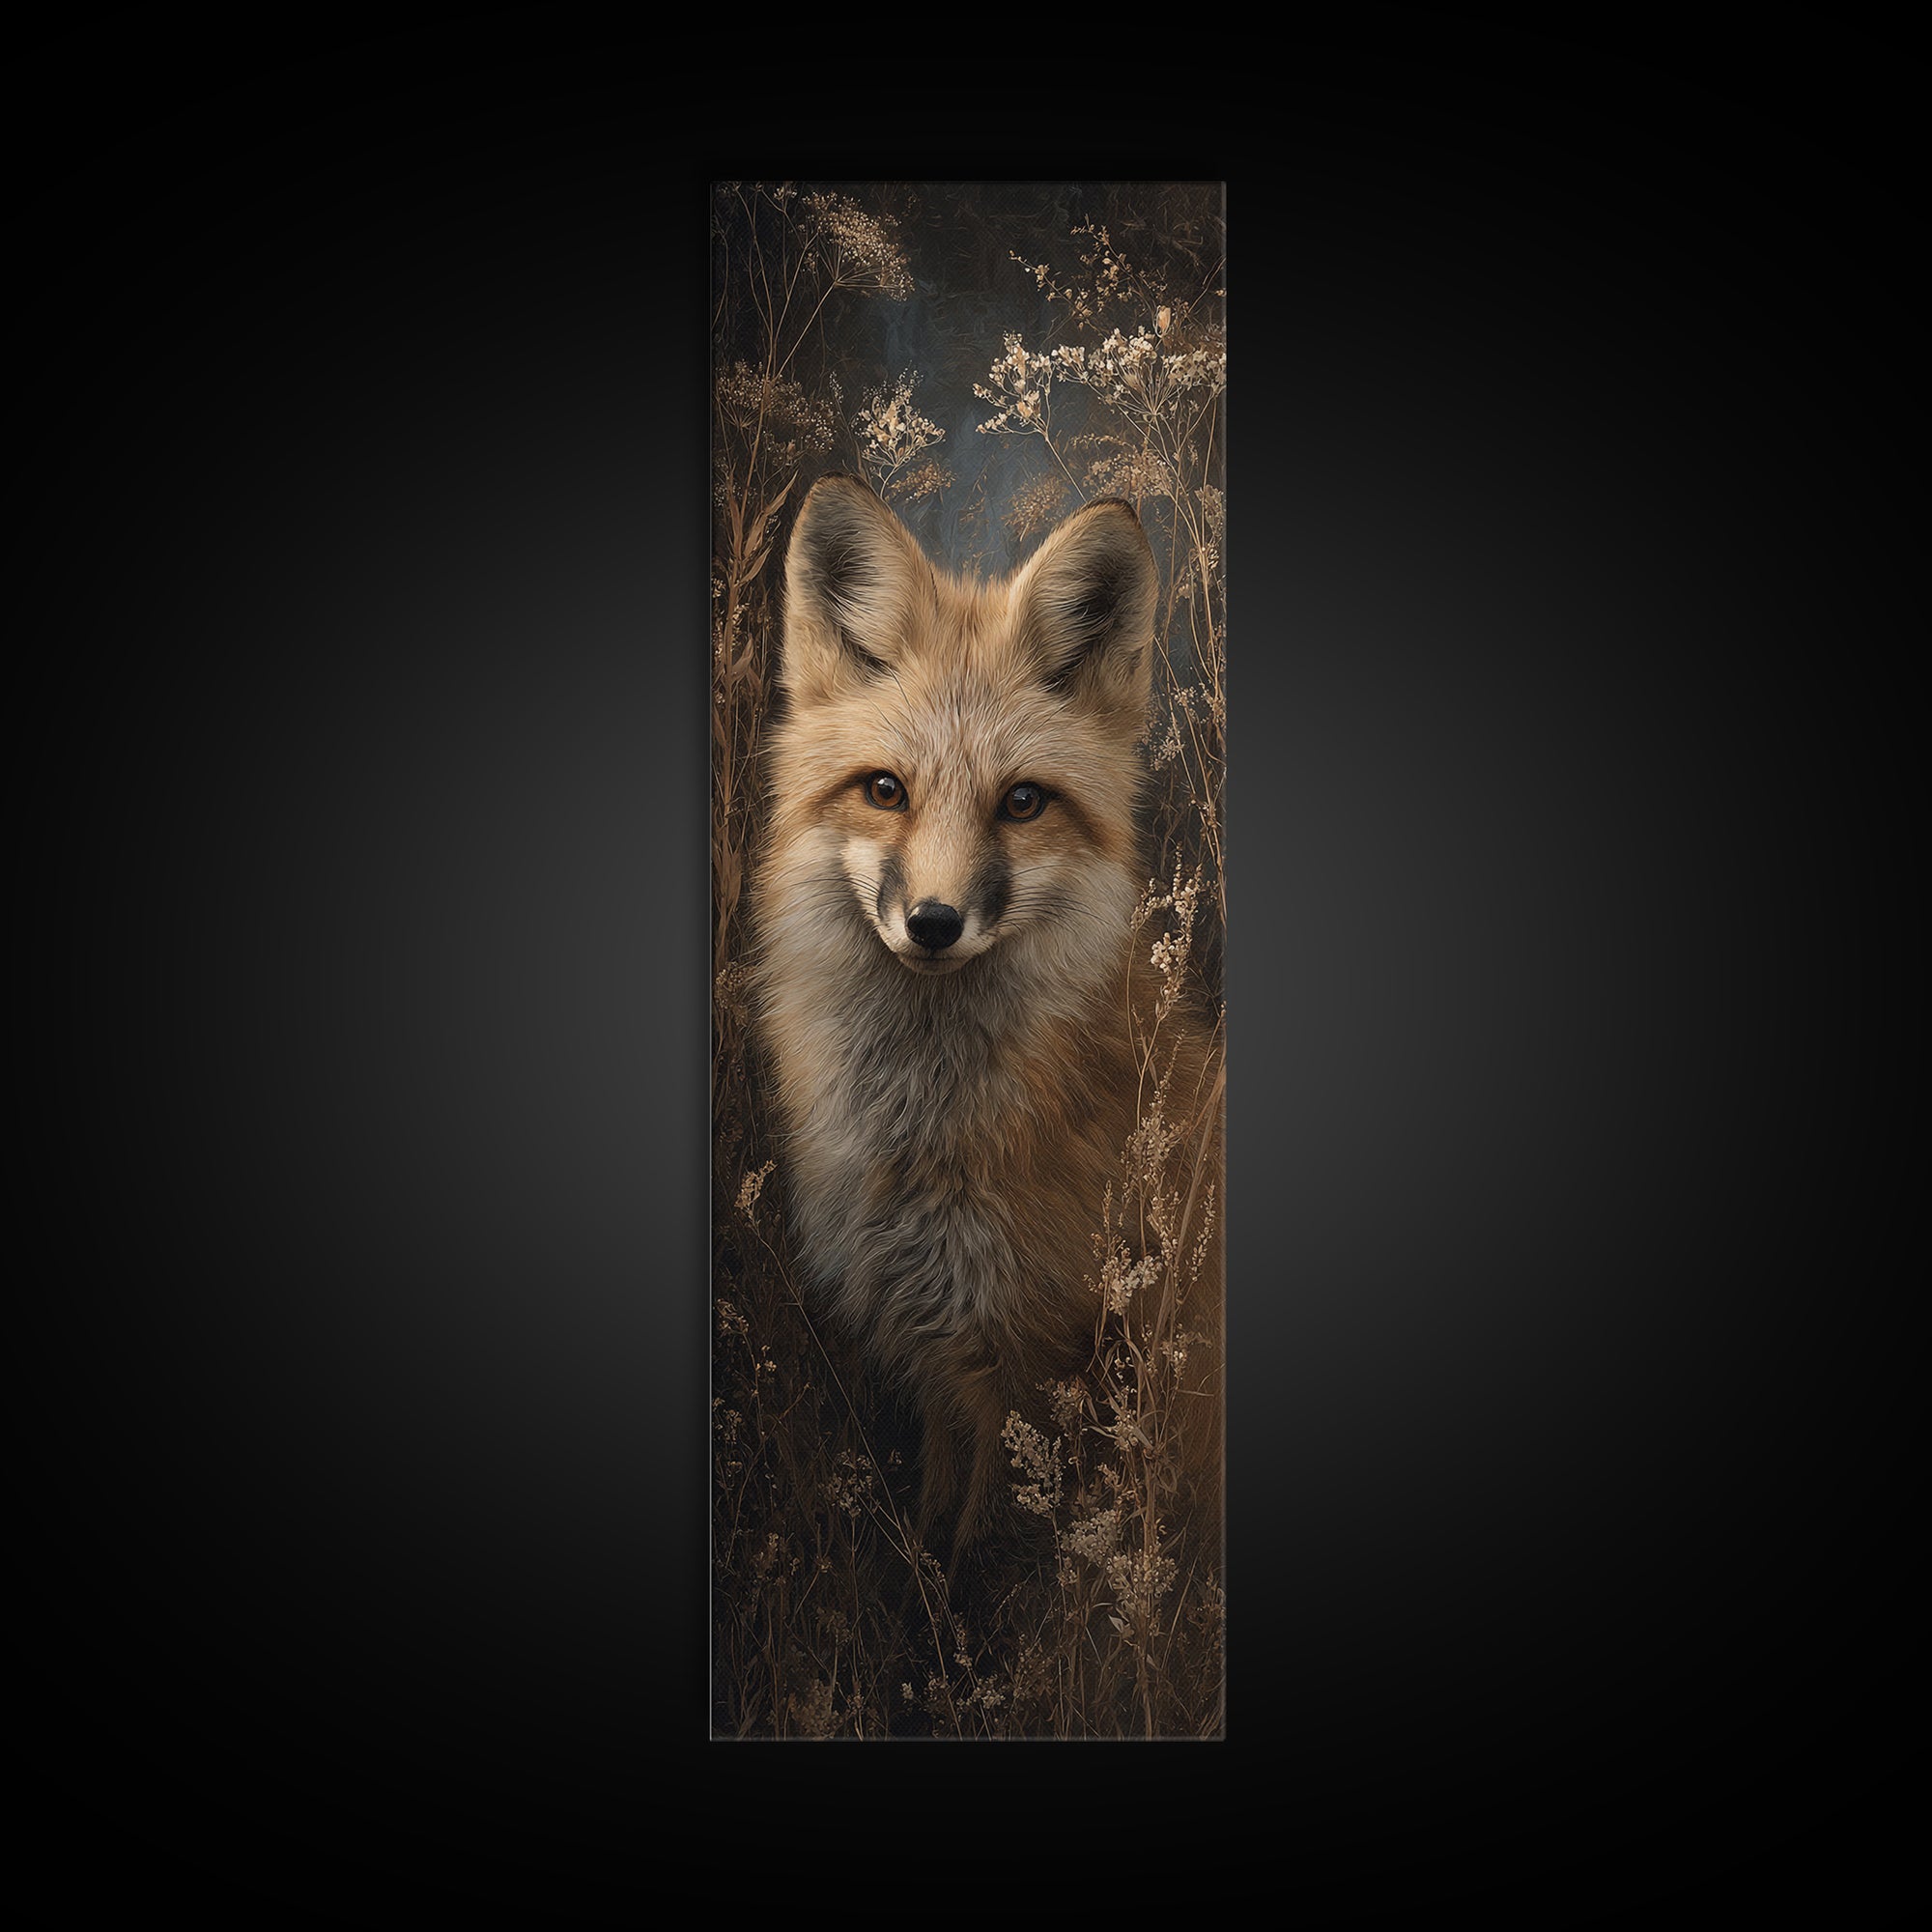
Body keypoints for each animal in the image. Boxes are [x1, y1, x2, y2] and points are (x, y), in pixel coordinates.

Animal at [753, 473, 1223, 1573]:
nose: (933, 922)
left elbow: (993, 1568)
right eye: (885, 789)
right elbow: (935, 1538)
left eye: (1021, 803)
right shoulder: (937, 1351)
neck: (926, 1135)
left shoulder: (1034, 1367)